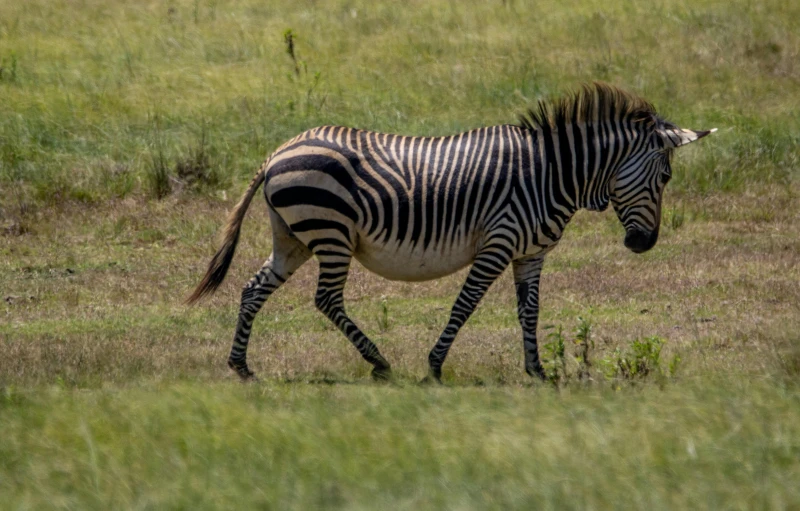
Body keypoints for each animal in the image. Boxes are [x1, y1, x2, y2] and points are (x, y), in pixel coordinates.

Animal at [188, 83, 712, 384]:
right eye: (666, 177)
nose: (643, 244)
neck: (551, 175)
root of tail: (277, 152)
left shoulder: (531, 254)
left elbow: (530, 311)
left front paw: (538, 371)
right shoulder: (498, 243)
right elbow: (466, 304)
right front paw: (435, 366)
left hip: (293, 237)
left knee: (254, 289)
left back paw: (241, 365)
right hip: (331, 232)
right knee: (326, 299)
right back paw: (379, 362)